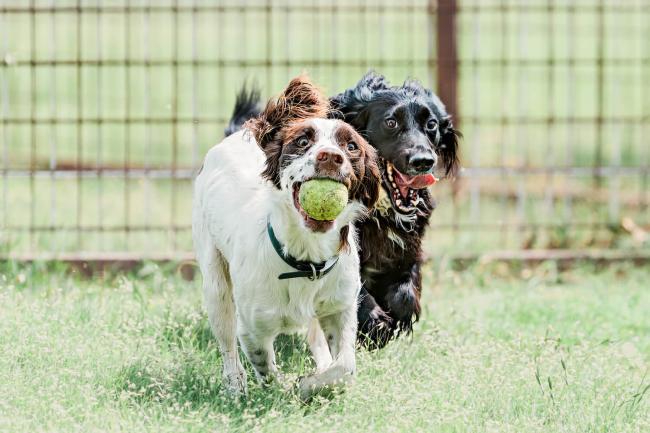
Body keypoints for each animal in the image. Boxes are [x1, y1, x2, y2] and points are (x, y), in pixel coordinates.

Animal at [190, 76, 378, 396]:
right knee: (228, 347)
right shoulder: (252, 328)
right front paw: (289, 387)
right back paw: (235, 388)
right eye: (303, 141)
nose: (330, 157)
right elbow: (268, 371)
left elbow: (345, 368)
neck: (306, 258)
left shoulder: (341, 309)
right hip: (215, 285)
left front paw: (312, 383)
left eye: (351, 145)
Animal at [225, 71, 458, 348]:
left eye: (431, 124)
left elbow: (405, 295)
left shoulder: (407, 248)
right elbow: (358, 293)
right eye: (391, 122)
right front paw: (377, 324)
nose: (423, 161)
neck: (380, 211)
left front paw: (395, 323)